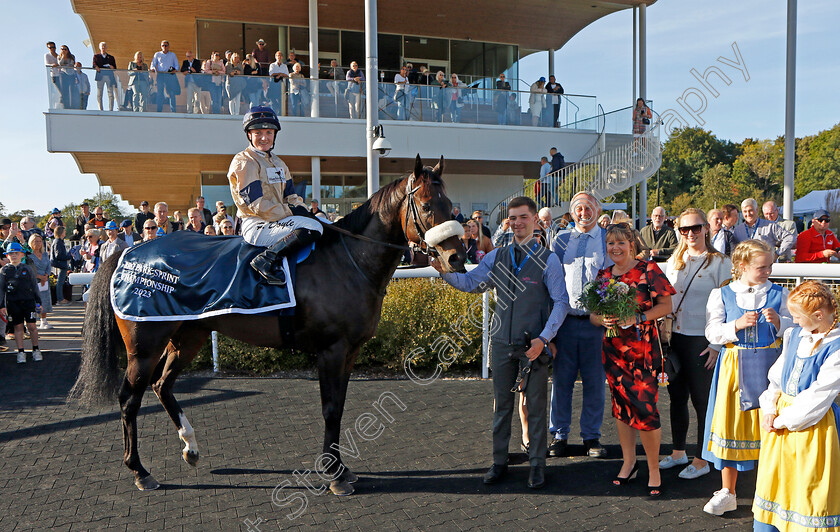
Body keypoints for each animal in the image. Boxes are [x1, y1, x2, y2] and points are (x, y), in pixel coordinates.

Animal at [71, 154, 466, 494]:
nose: (456, 258)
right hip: (144, 346)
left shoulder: (350, 351)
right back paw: (140, 471)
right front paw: (334, 474)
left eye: (451, 206)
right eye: (427, 206)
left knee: (162, 385)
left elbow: (339, 406)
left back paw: (190, 447)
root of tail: (127, 251)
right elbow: (330, 409)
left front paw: (341, 468)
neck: (348, 261)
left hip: (188, 336)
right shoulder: (331, 350)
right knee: (129, 398)